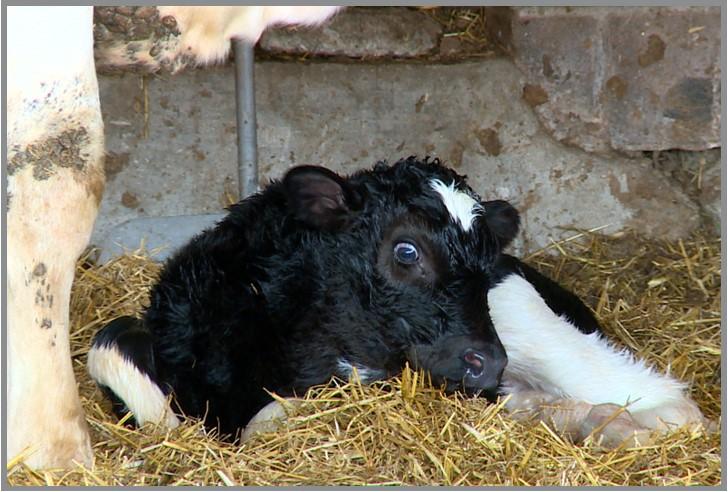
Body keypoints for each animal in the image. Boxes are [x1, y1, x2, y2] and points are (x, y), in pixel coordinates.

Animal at [87, 158, 709, 447]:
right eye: (406, 250)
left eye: (483, 261)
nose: (489, 362)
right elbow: (113, 350)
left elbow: (271, 419)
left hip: (533, 327)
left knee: (672, 406)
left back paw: (606, 424)